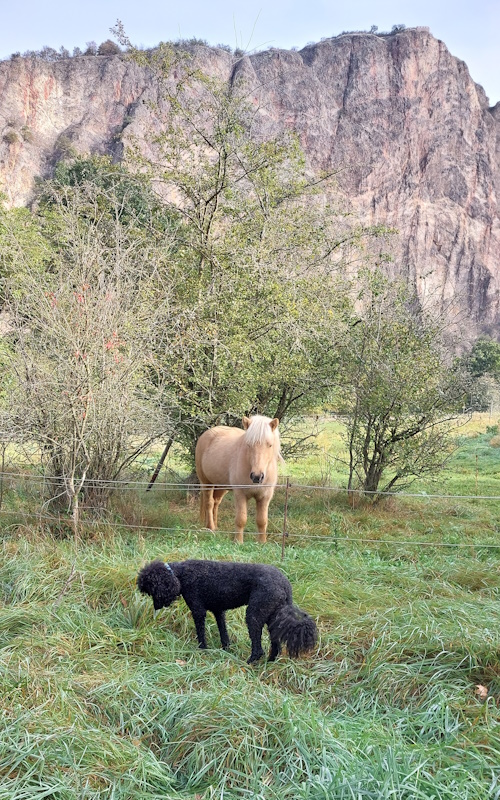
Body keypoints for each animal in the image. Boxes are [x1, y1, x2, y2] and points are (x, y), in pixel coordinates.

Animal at [137, 556, 316, 664]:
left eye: (152, 590)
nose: (156, 607)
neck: (178, 574)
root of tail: (285, 584)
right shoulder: (219, 611)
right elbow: (223, 633)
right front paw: (225, 650)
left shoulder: (198, 611)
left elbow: (201, 633)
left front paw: (202, 650)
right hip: (272, 616)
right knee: (276, 644)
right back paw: (269, 662)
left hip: (254, 614)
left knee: (258, 648)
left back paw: (249, 663)